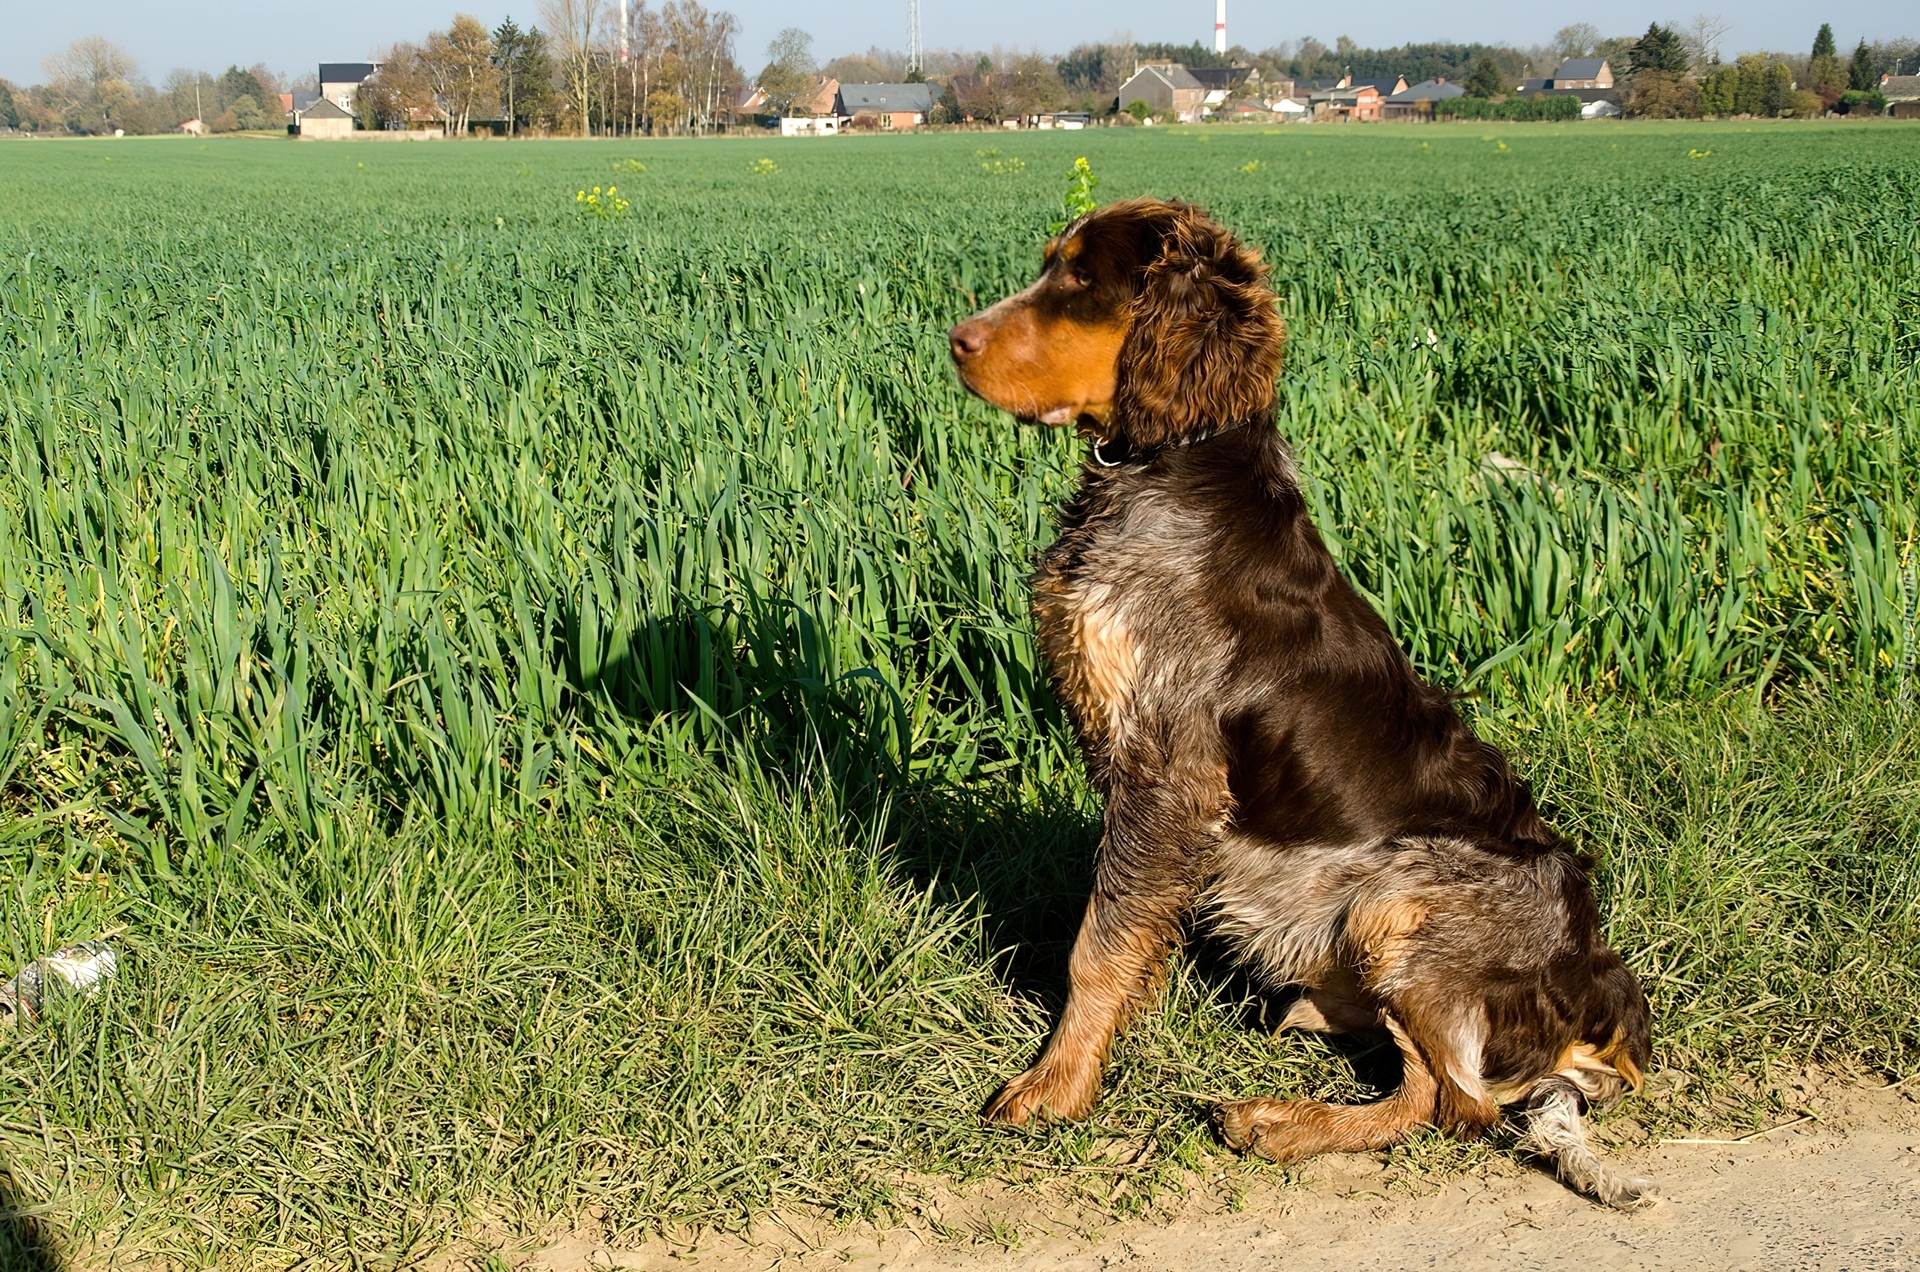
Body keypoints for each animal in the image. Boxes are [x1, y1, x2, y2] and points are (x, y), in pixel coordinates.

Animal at [944, 196, 1651, 1206]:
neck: (1171, 467)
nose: (955, 340)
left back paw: (1279, 1122)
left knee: (1454, 1101)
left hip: (1399, 898)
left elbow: (1099, 944)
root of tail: (1603, 993)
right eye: (1051, 264)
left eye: (1081, 277)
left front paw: (1057, 1086)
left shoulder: (1169, 769)